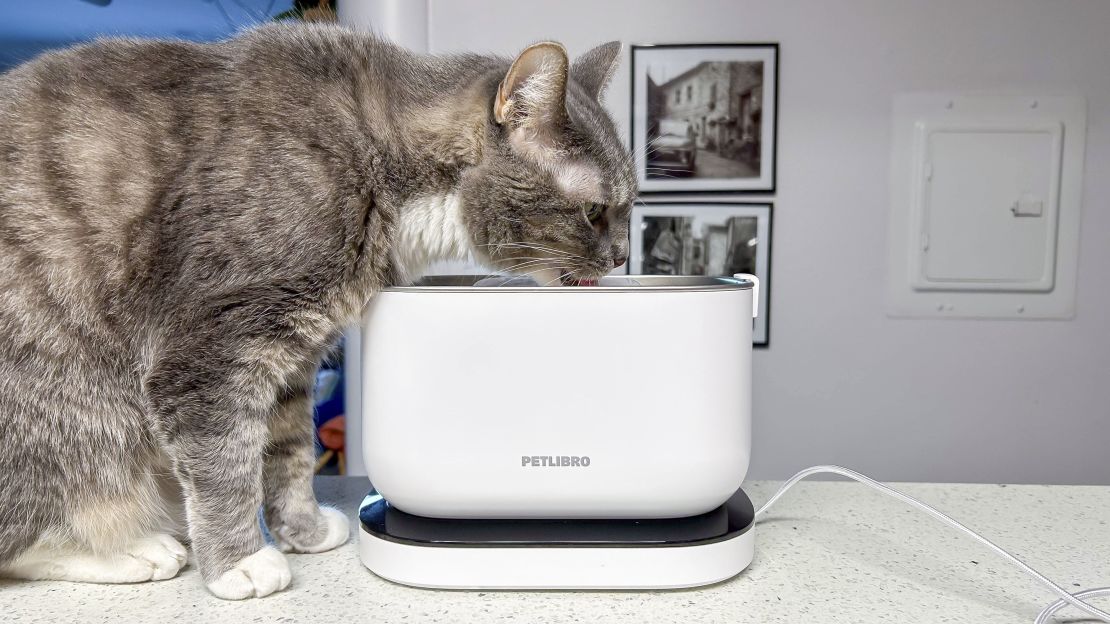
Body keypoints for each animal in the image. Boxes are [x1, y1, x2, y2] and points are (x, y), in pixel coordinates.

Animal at [0, 23, 639, 599]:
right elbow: (224, 459)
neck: (376, 155)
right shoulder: (213, 349)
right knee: (29, 536)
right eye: (596, 211)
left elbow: (288, 452)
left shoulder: (292, 352)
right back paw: (134, 549)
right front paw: (239, 561)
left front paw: (300, 530)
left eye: (629, 208)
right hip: (71, 404)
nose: (623, 254)